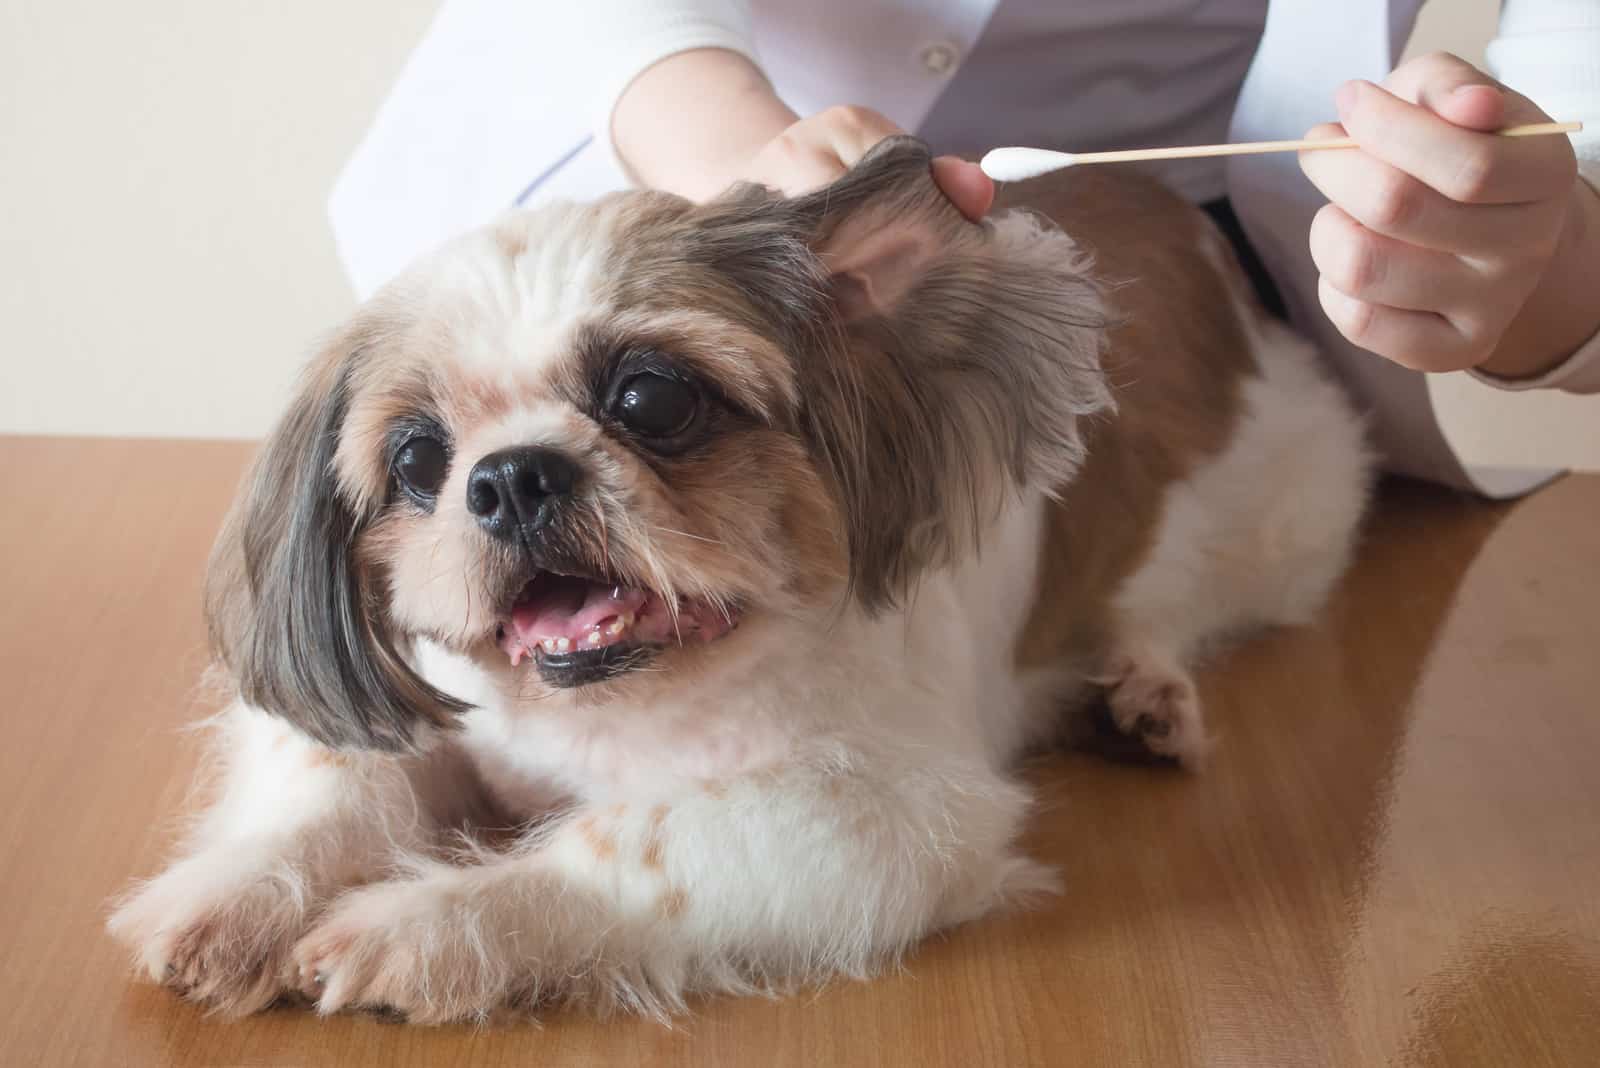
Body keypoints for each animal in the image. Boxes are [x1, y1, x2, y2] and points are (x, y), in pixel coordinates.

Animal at [106, 137, 1369, 1023]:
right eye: (418, 459)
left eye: (650, 399)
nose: (511, 477)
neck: (608, 710)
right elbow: (334, 783)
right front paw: (239, 893)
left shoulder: (884, 812)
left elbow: (629, 845)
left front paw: (423, 925)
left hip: (1284, 520)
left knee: (1178, 602)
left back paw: (1142, 690)